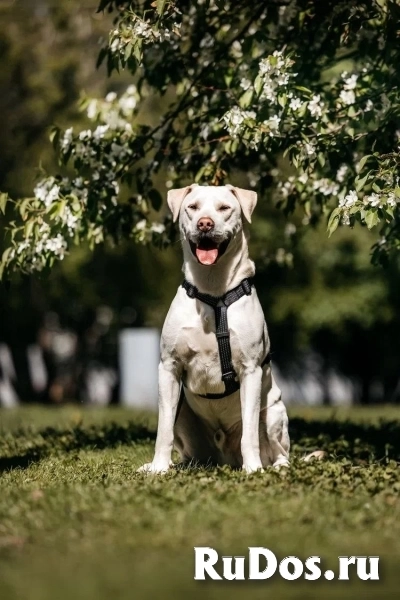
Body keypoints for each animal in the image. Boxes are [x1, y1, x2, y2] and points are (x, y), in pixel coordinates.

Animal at [139, 183, 290, 474]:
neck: (213, 291)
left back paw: (276, 467)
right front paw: (159, 468)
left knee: (279, 449)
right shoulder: (169, 367)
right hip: (185, 416)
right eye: (193, 207)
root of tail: (222, 458)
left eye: (224, 208)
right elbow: (163, 430)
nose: (205, 224)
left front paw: (253, 469)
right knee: (186, 447)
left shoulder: (251, 371)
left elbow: (250, 433)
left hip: (274, 411)